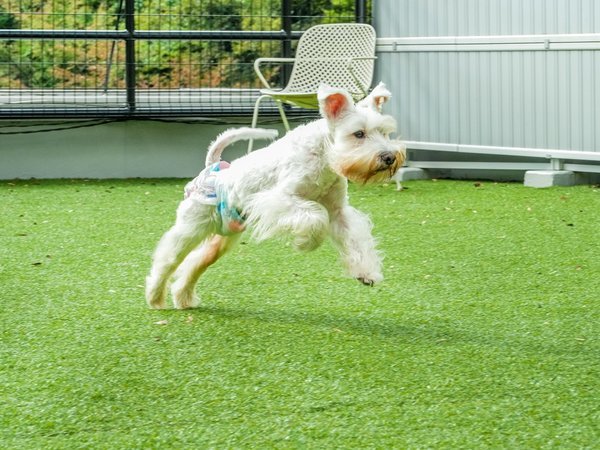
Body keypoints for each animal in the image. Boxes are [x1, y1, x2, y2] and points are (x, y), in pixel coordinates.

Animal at [147, 81, 406, 310]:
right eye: (358, 133)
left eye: (385, 132)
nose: (389, 157)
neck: (323, 153)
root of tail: (212, 167)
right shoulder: (281, 198)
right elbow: (316, 217)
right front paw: (305, 243)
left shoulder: (339, 211)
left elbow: (355, 239)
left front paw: (366, 272)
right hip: (191, 227)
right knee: (167, 259)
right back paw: (155, 297)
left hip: (223, 238)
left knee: (194, 263)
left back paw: (183, 298)